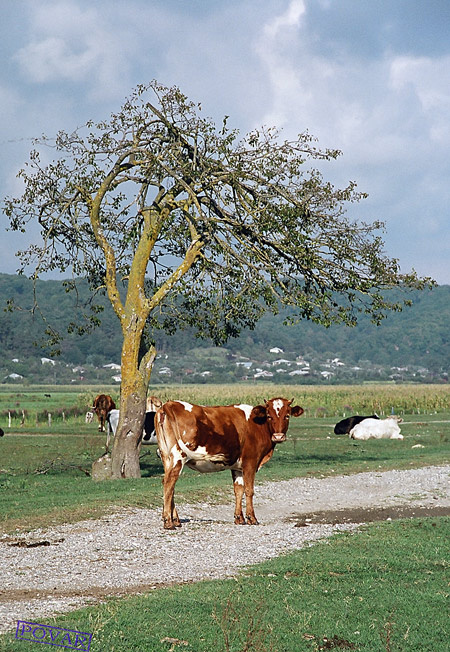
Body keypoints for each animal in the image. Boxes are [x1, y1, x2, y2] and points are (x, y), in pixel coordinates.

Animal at [155, 397, 304, 530]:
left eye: (287, 416)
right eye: (269, 416)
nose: (278, 436)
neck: (257, 425)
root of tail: (168, 405)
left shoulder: (238, 467)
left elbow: (238, 490)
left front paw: (240, 518)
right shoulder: (250, 462)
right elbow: (249, 490)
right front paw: (252, 518)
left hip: (166, 457)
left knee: (169, 485)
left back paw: (175, 520)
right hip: (177, 457)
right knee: (169, 482)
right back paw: (168, 522)